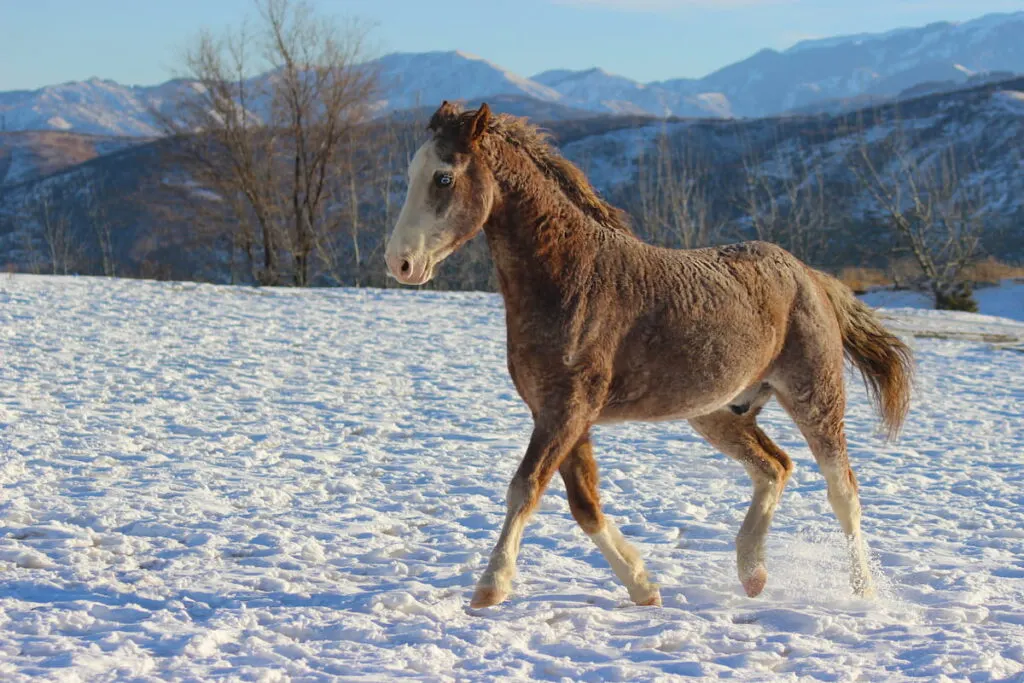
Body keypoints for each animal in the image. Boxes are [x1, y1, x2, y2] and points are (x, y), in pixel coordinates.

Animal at [382, 101, 913, 610]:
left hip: (815, 397)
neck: (575, 279)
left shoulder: (567, 410)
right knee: (774, 467)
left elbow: (526, 487)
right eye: (410, 172)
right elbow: (584, 503)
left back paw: (864, 591)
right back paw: (753, 573)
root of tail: (810, 275)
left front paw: (490, 587)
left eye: (443, 177)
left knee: (843, 491)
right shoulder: (559, 414)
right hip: (718, 412)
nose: (400, 263)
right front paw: (644, 587)